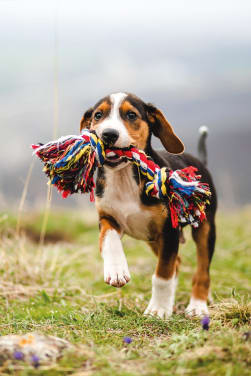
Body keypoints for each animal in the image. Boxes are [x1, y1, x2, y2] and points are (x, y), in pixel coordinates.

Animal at [80, 92, 216, 318]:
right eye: (98, 115)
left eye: (131, 115)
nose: (108, 134)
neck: (124, 177)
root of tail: (200, 162)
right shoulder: (108, 218)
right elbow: (109, 240)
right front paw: (116, 270)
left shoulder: (169, 230)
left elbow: (162, 273)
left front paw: (158, 309)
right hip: (152, 238)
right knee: (178, 263)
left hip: (205, 228)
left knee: (202, 270)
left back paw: (197, 305)